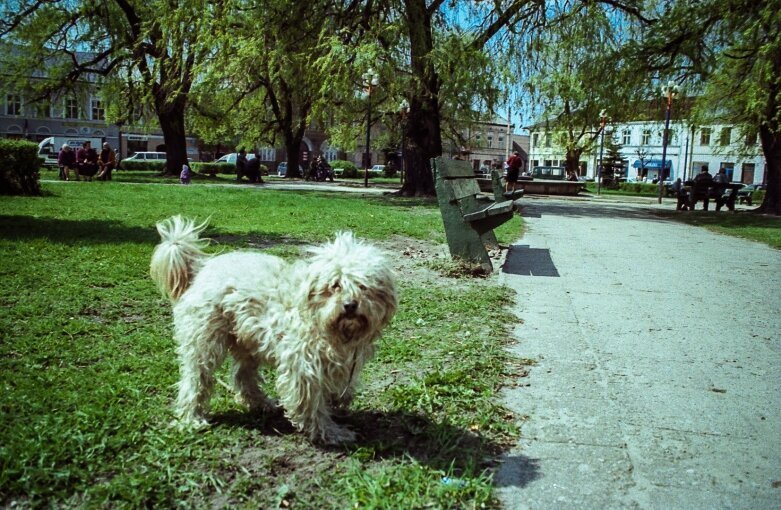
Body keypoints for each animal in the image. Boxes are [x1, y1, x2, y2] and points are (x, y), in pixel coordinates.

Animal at [150, 217, 400, 444]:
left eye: (363, 286)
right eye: (335, 285)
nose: (349, 305)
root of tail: (203, 268)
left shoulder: (343, 363)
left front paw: (339, 403)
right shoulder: (303, 367)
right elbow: (310, 404)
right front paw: (329, 432)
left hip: (248, 340)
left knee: (243, 377)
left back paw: (262, 404)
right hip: (204, 342)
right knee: (196, 380)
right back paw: (191, 418)